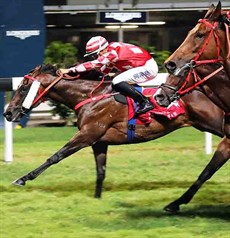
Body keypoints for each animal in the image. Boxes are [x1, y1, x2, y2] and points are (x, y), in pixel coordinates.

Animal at [3, 64, 226, 213]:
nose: (8, 113)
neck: (88, 96)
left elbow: (55, 157)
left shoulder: (87, 134)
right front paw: (96, 199)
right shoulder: (99, 142)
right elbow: (101, 171)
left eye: (24, 87)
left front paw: (22, 179)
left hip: (215, 123)